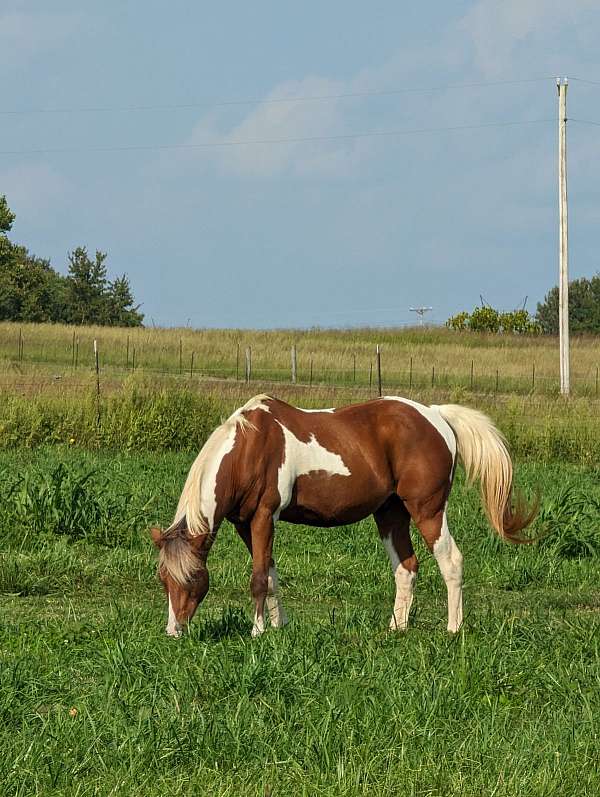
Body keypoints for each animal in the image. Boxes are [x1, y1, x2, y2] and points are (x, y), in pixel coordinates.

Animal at [152, 394, 536, 636]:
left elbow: (259, 578)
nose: (173, 631)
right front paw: (279, 627)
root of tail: (436, 415)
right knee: (406, 567)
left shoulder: (263, 517)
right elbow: (271, 574)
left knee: (450, 560)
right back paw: (397, 629)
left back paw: (453, 629)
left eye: (191, 579)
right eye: (163, 580)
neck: (250, 447)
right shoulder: (246, 524)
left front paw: (257, 631)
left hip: (427, 509)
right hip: (391, 513)